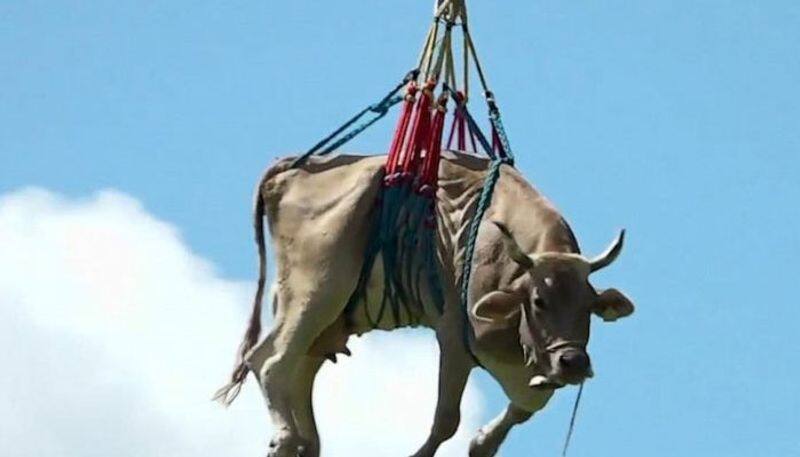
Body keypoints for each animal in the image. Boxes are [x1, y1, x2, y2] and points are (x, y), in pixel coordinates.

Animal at [214, 151, 636, 456]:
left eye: (590, 306)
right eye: (538, 300)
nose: (574, 362)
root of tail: (290, 169)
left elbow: (519, 410)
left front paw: (483, 440)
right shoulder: (453, 337)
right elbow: (446, 418)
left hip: (326, 317)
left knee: (295, 370)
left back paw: (304, 444)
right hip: (315, 290)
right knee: (270, 360)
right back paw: (286, 438)